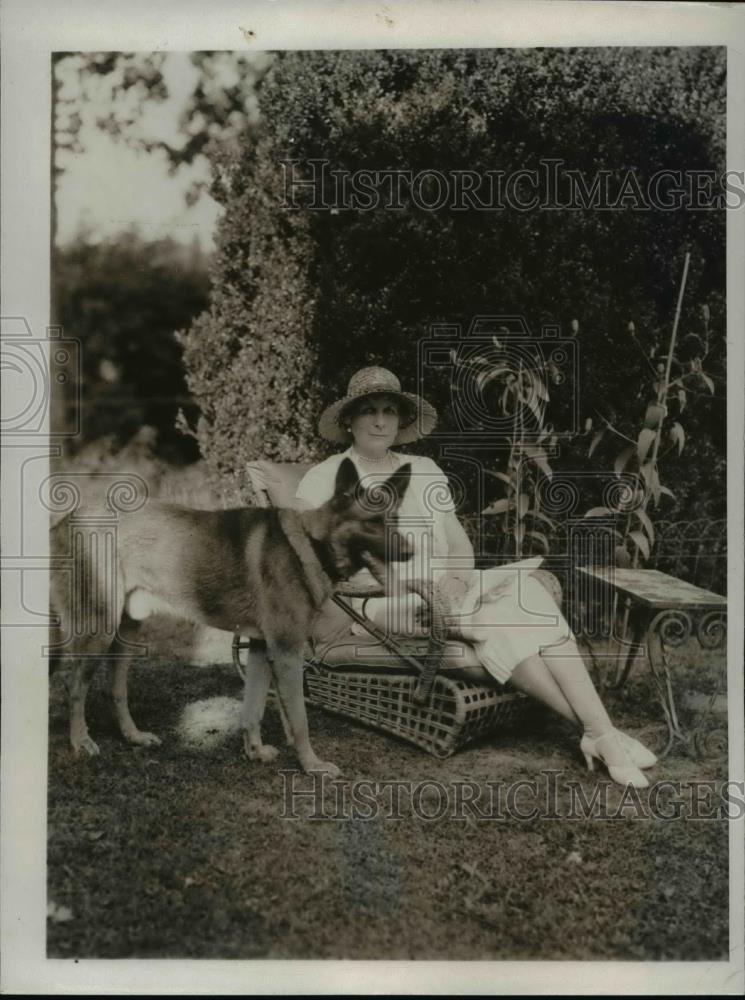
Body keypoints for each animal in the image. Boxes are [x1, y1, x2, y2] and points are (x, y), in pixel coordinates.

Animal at [50, 458, 412, 776]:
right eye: (372, 522)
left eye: (395, 520)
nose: (411, 554)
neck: (311, 543)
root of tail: (66, 520)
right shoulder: (286, 653)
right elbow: (299, 720)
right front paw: (312, 766)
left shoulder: (261, 649)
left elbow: (253, 707)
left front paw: (255, 751)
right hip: (99, 629)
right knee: (74, 685)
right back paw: (81, 741)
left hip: (126, 633)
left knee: (116, 687)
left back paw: (133, 736)